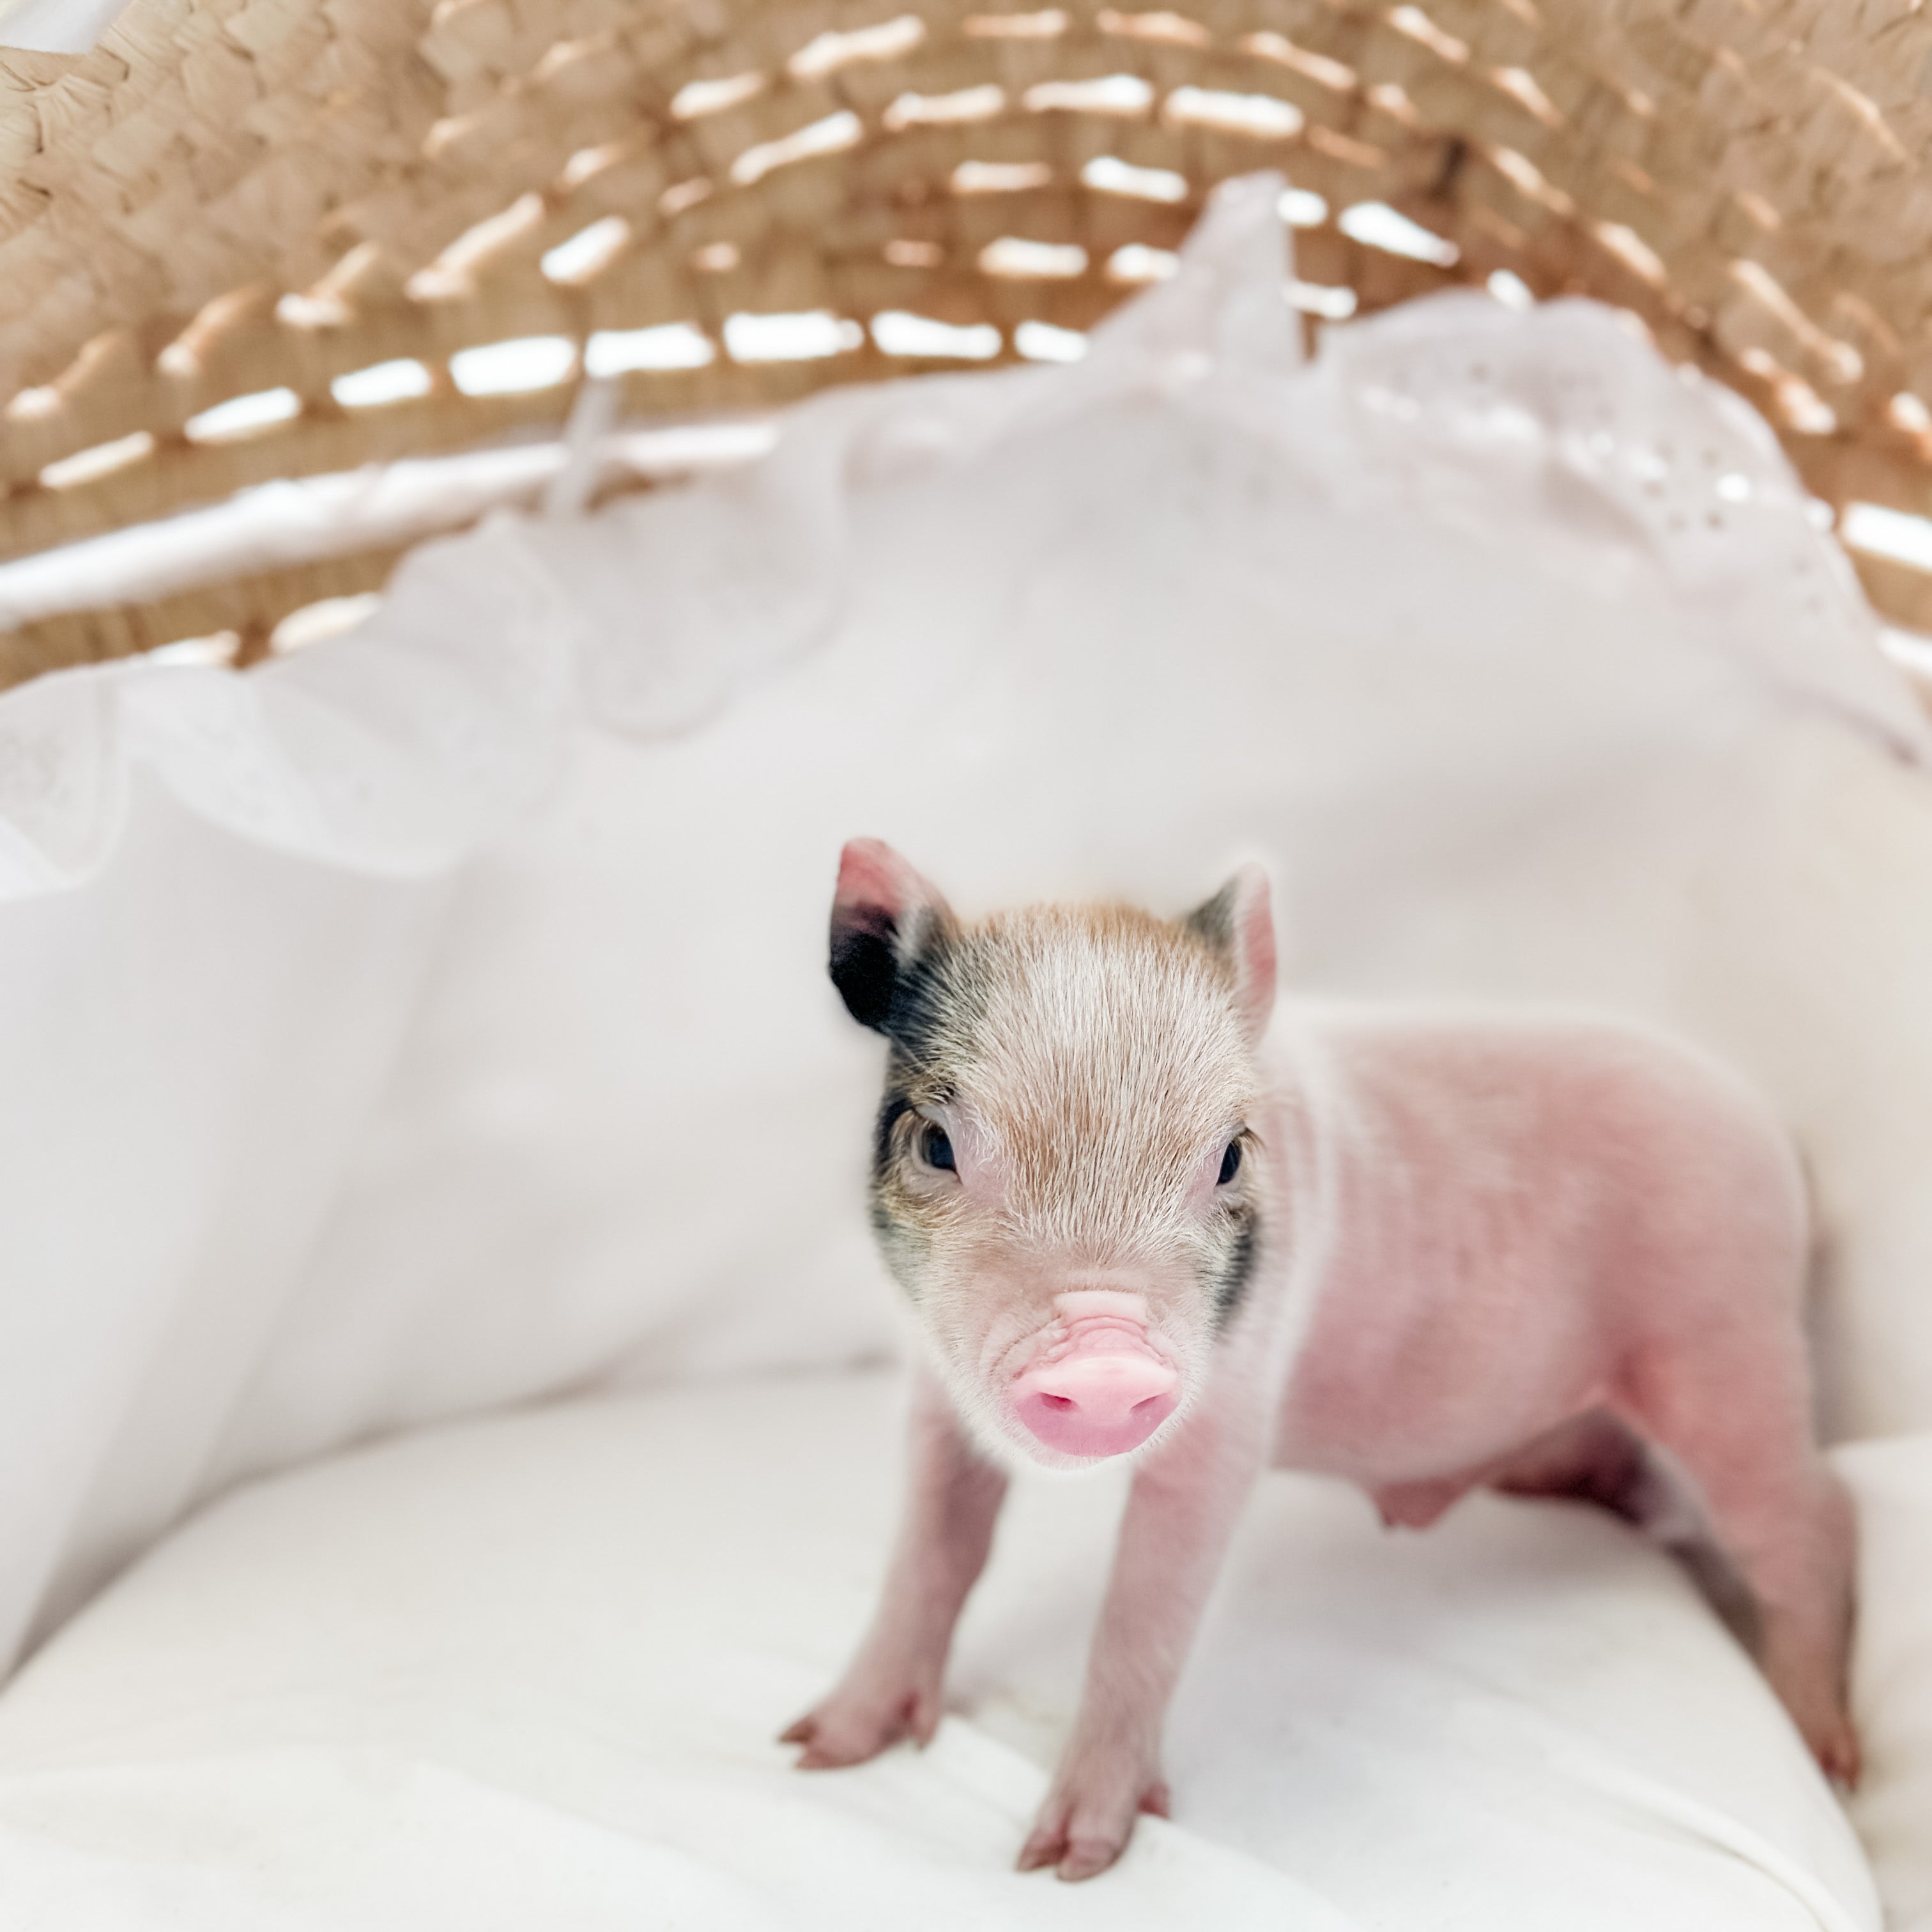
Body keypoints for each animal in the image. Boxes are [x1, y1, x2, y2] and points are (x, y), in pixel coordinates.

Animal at [782, 839, 1858, 1881]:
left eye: (1227, 1157)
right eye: (936, 1143)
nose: (1105, 1359)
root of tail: (1782, 1145)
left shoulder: (1231, 1413)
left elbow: (1145, 1611)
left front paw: (1066, 1863)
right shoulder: (935, 1391)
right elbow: (932, 1552)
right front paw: (815, 1749)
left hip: (1726, 1336)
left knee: (1810, 1522)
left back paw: (1830, 1757)